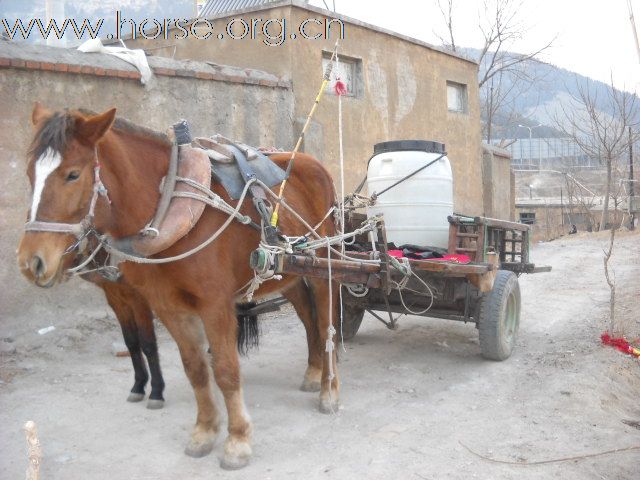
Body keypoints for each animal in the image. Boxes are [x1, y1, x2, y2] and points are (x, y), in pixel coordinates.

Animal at [16, 104, 340, 468]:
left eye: (72, 174)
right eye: (30, 174)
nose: (31, 261)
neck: (170, 207)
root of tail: (312, 163)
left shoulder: (214, 305)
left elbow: (225, 370)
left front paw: (238, 440)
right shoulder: (165, 306)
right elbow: (194, 368)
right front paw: (204, 431)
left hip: (325, 267)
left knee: (326, 324)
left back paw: (328, 389)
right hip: (286, 275)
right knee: (308, 318)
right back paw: (312, 373)